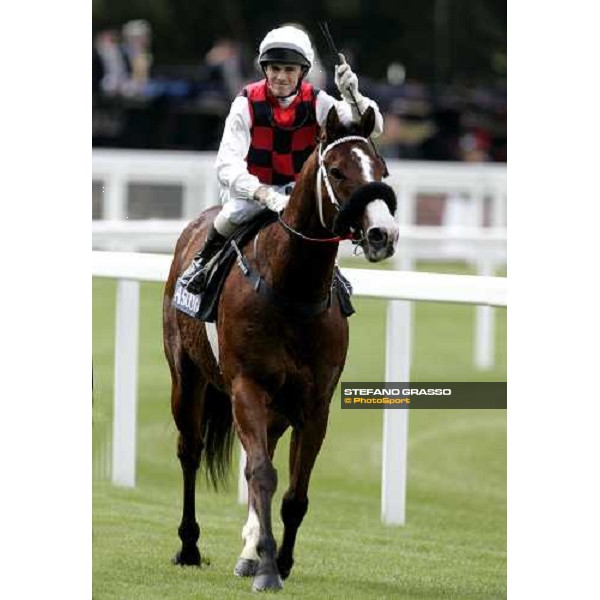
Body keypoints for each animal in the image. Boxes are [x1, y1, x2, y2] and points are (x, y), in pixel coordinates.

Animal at [162, 106, 400, 592]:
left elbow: (294, 493)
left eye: (381, 170)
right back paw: (190, 546)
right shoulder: (247, 387)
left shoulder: (315, 403)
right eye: (337, 171)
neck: (291, 288)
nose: (382, 234)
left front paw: (279, 560)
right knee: (190, 451)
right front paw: (269, 567)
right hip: (187, 377)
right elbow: (261, 474)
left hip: (278, 408)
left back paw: (248, 551)